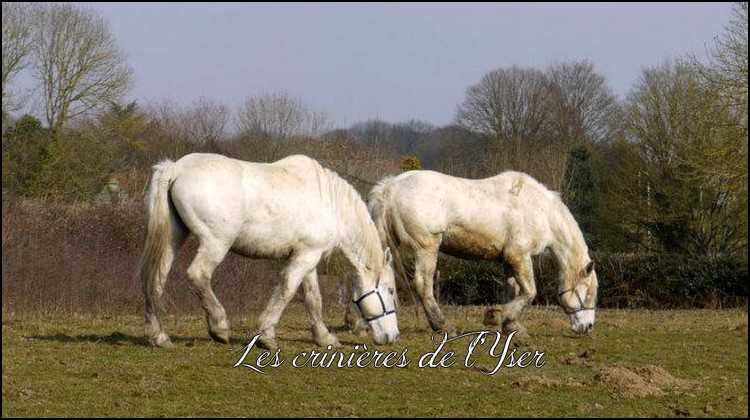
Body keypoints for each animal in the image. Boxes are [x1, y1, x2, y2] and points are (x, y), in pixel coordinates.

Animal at [139, 153, 402, 350]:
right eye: (390, 290)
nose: (393, 336)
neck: (331, 205)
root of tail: (175, 169)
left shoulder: (308, 257)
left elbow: (313, 298)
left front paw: (324, 337)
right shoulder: (305, 258)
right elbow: (287, 290)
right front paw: (266, 336)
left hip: (173, 239)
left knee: (156, 280)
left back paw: (158, 336)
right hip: (215, 243)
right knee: (198, 275)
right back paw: (220, 327)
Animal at [364, 169, 600, 336]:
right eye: (589, 293)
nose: (588, 326)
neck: (540, 211)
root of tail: (390, 188)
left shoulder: (509, 260)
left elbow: (513, 290)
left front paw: (512, 325)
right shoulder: (519, 256)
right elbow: (530, 292)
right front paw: (495, 316)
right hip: (426, 249)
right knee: (423, 285)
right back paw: (443, 326)